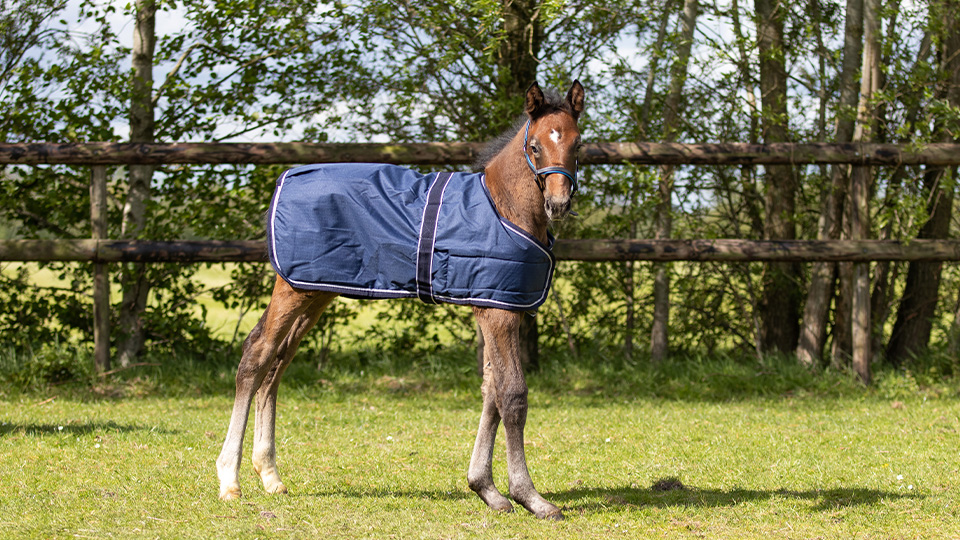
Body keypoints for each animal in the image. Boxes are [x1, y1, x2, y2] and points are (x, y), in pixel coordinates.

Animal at [216, 81, 585, 521]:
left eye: (578, 145)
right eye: (534, 146)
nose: (558, 204)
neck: (503, 208)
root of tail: (286, 177)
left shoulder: (497, 307)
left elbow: (490, 393)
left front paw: (486, 490)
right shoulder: (498, 314)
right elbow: (511, 396)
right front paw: (529, 496)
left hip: (314, 290)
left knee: (277, 364)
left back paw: (270, 474)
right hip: (294, 289)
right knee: (257, 355)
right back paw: (230, 480)